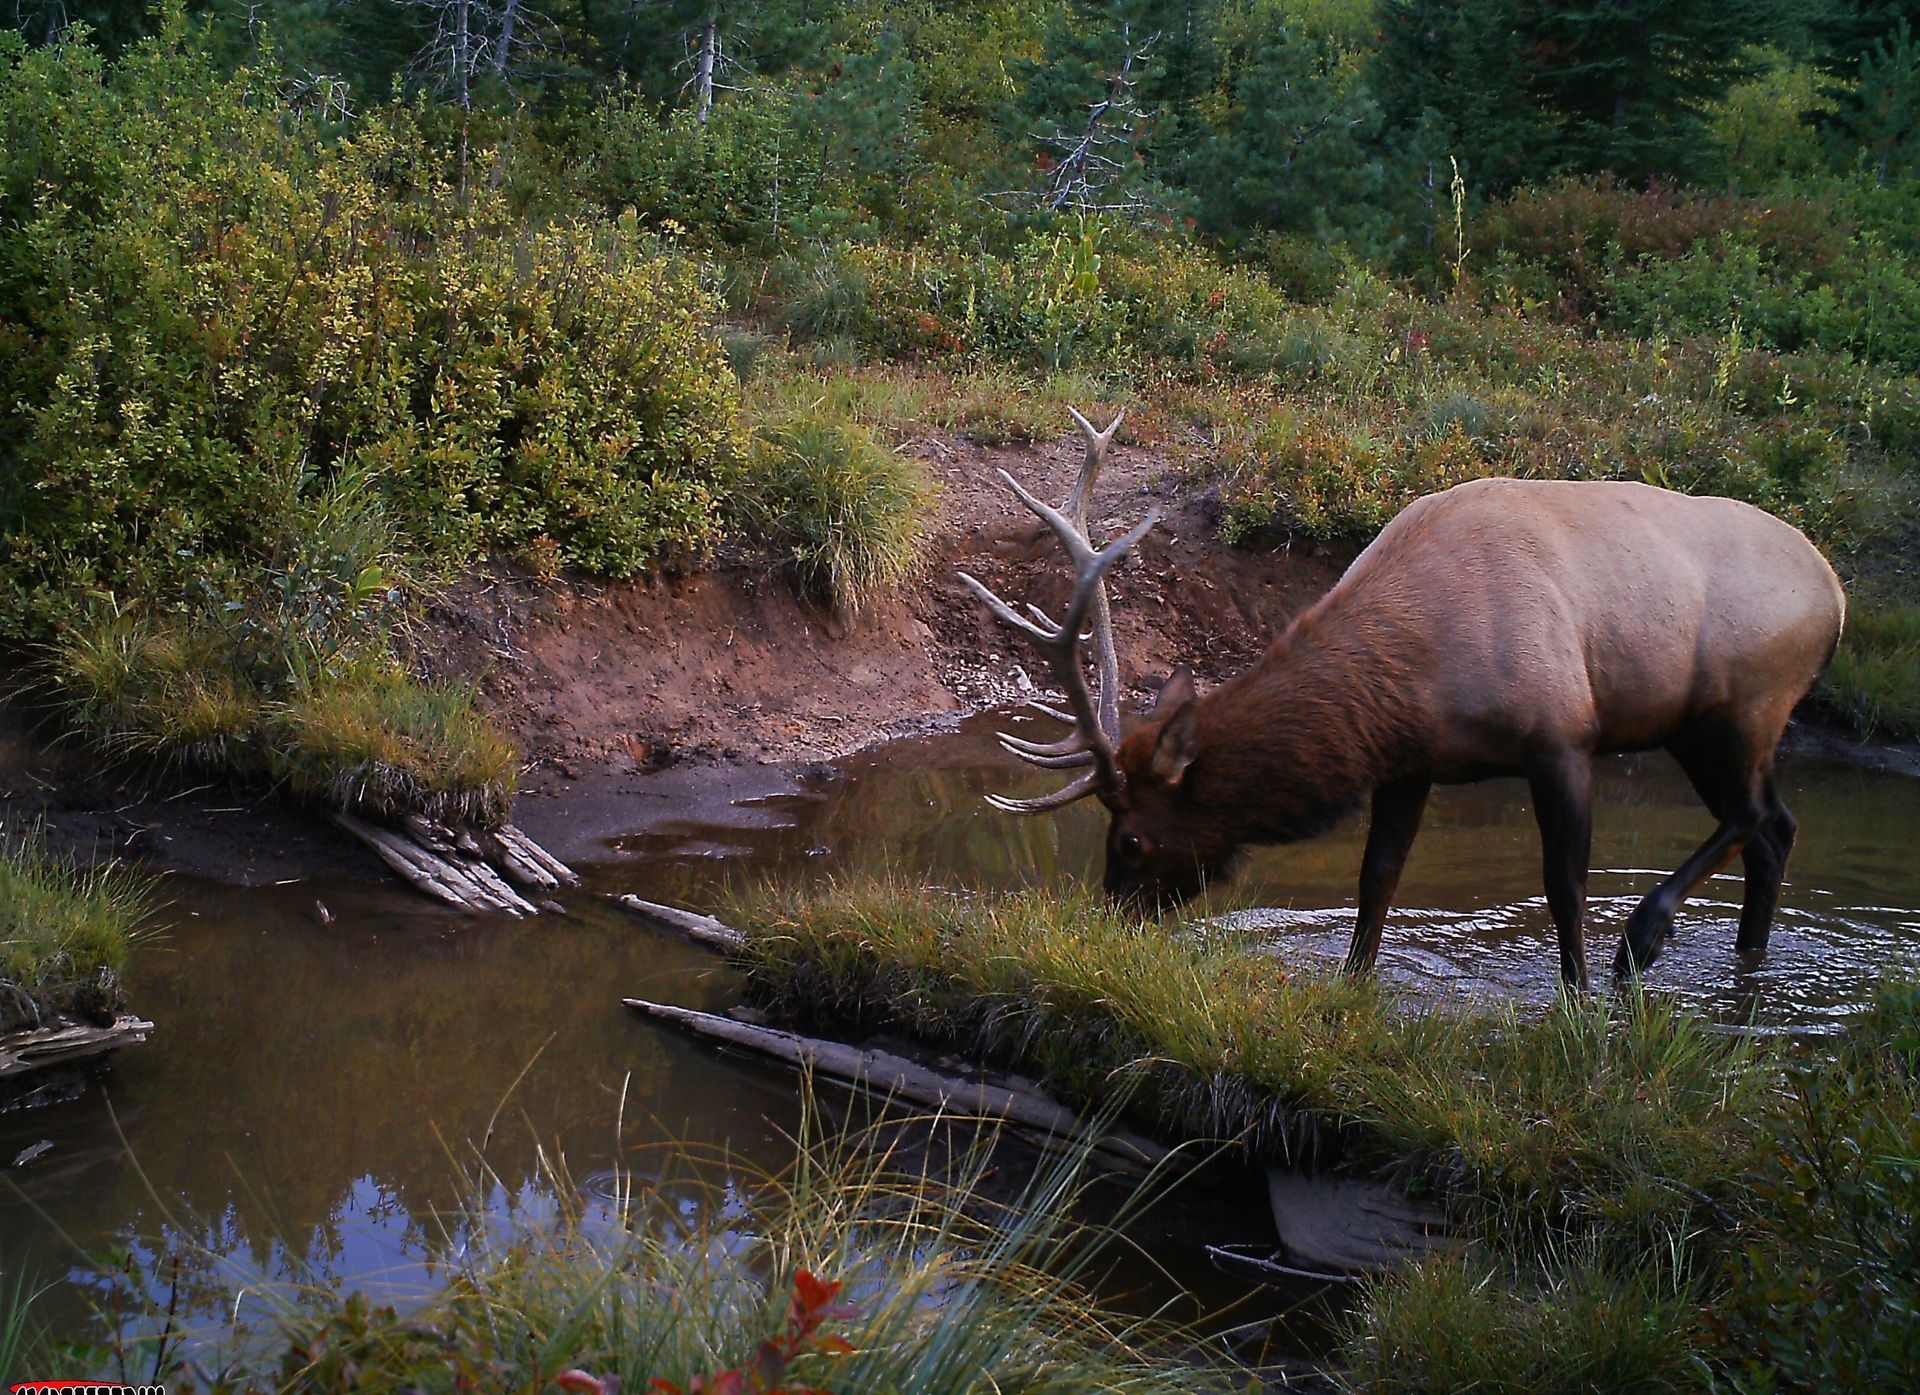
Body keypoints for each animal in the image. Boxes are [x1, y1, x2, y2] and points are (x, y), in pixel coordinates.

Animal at [959, 409, 1847, 990]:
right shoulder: (1410, 759)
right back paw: (1747, 957)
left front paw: (1578, 997)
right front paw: (1351, 987)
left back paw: (1645, 936)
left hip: (1744, 703)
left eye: (1132, 839)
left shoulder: (1562, 733)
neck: (1417, 668)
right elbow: (1376, 879)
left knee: (1757, 815)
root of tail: (1836, 595)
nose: (1103, 924)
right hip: (1697, 728)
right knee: (1777, 827)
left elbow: (1565, 883)